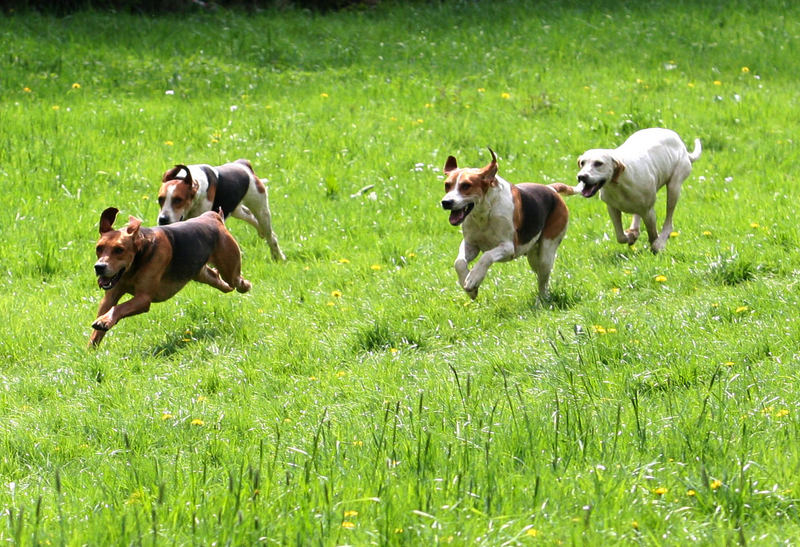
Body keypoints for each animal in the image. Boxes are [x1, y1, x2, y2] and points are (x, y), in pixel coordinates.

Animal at [88, 206, 252, 346]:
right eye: (99, 248)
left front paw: (104, 321)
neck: (137, 261)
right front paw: (91, 349)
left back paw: (246, 285)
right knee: (220, 281)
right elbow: (104, 317)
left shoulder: (143, 298)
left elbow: (118, 308)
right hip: (200, 272)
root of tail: (213, 217)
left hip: (229, 267)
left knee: (237, 280)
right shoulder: (111, 295)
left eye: (119, 250)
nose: (99, 267)